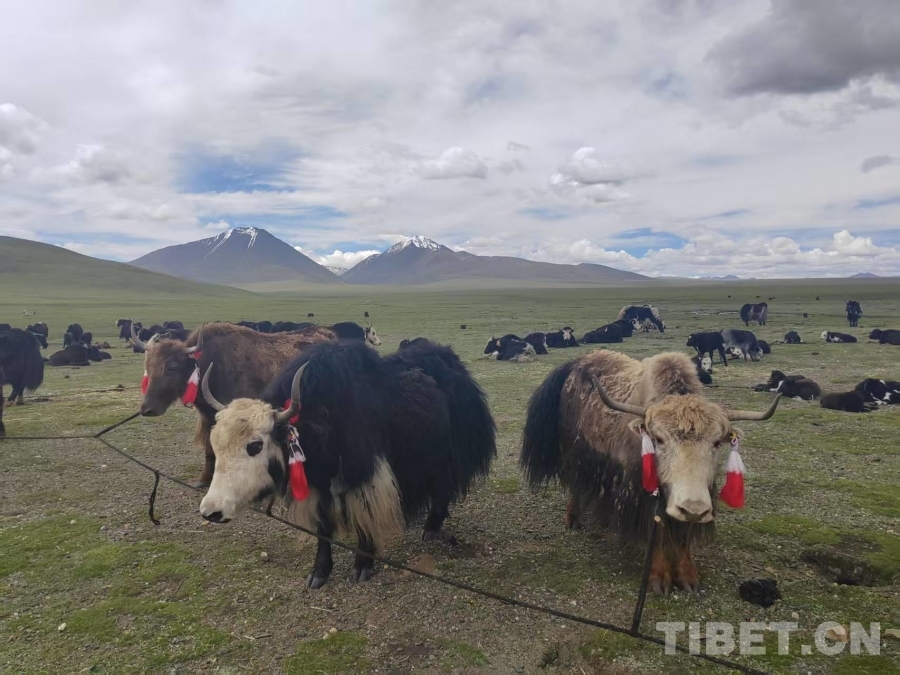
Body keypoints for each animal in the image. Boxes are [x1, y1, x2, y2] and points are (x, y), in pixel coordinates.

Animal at [135, 322, 338, 486]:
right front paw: (204, 480)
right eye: (148, 366)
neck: (211, 367)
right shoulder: (210, 418)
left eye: (171, 367)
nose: (146, 409)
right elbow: (209, 449)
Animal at [197, 339, 496, 588]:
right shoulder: (317, 486)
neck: (321, 424)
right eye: (216, 444)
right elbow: (323, 529)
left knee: (445, 488)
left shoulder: (365, 477)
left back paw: (431, 528)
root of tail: (456, 366)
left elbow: (364, 520)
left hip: (449, 455)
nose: (210, 511)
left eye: (255, 446)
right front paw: (319, 573)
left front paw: (362, 567)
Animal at [520, 350, 781, 594]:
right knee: (576, 482)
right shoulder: (644, 490)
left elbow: (684, 532)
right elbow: (656, 529)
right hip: (574, 448)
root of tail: (576, 363)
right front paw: (659, 578)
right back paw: (573, 519)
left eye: (717, 443)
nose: (693, 508)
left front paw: (688, 577)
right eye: (659, 439)